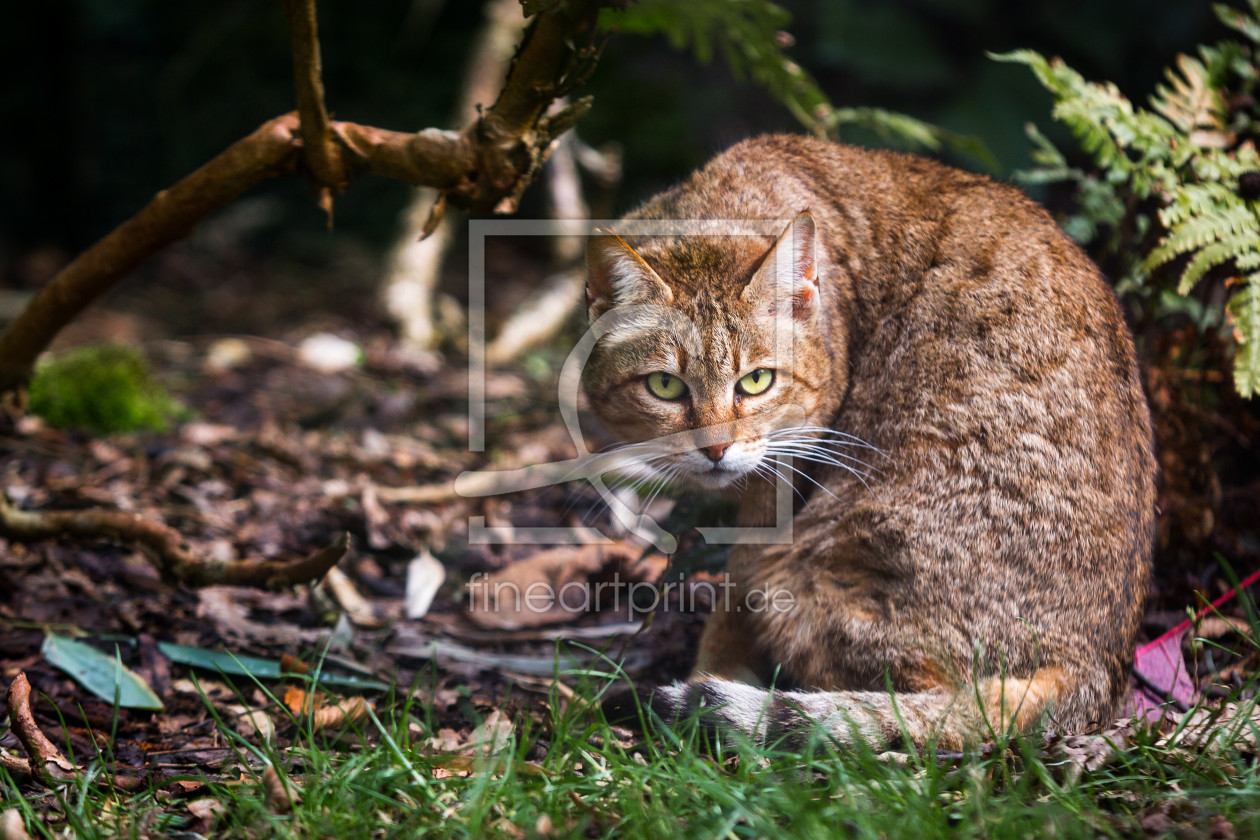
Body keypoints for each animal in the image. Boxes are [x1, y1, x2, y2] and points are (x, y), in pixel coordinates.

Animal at [579, 132, 1154, 750]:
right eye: (665, 386)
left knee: (938, 705)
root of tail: (1093, 671)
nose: (715, 450)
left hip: (804, 577)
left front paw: (711, 673)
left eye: (756, 381)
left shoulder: (785, 474)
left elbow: (735, 593)